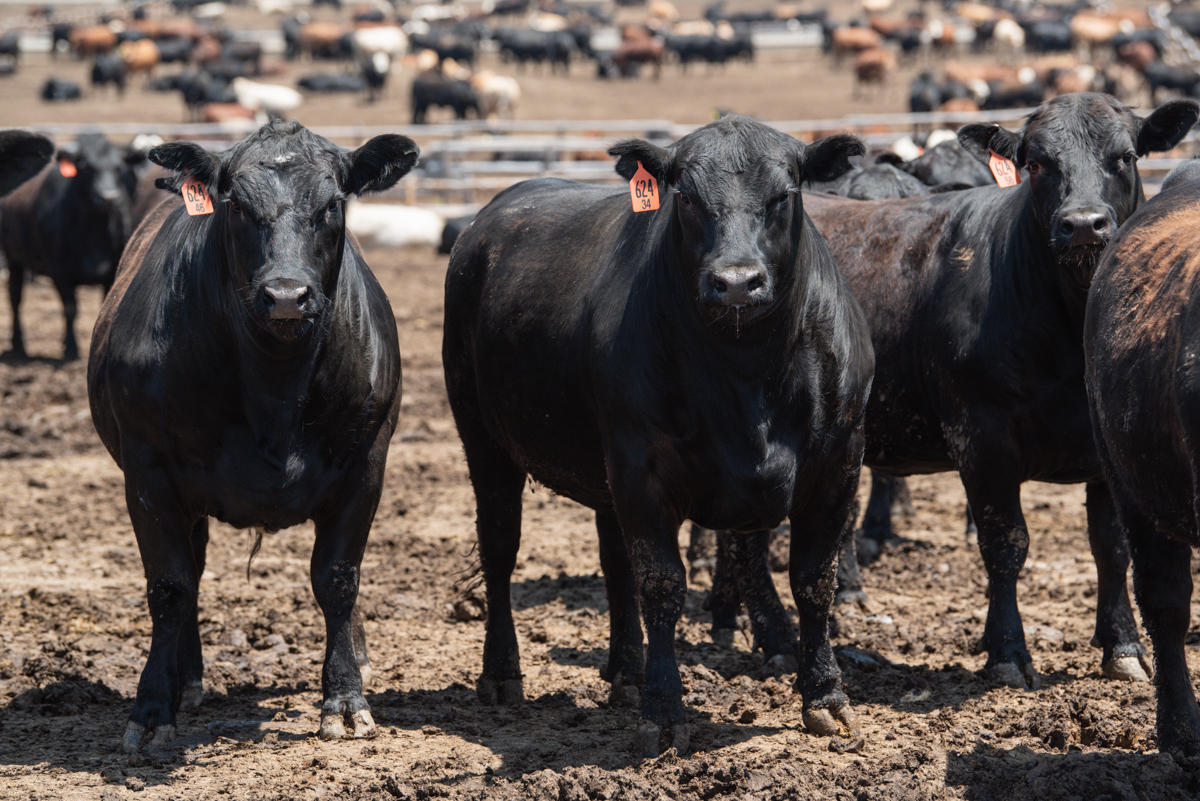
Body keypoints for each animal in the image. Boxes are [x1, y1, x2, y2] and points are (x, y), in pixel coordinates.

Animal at [88, 118, 417, 753]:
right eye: (234, 204)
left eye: (333, 204)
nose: (286, 295)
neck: (274, 389)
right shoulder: (148, 473)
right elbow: (169, 586)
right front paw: (151, 709)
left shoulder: (366, 464)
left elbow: (338, 579)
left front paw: (345, 700)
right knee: (190, 572)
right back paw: (186, 679)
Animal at [441, 115, 873, 753]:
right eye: (686, 198)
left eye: (784, 195)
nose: (736, 283)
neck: (748, 374)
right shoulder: (641, 470)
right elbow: (663, 585)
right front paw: (664, 711)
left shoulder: (839, 464)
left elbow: (815, 580)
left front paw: (826, 697)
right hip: (486, 441)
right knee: (500, 550)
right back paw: (502, 674)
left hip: (599, 473)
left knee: (615, 564)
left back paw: (626, 673)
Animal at [715, 94, 1195, 690]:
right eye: (1037, 163)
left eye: (1126, 156)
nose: (1083, 224)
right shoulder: (981, 436)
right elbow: (1006, 544)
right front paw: (1008, 653)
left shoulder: (1107, 447)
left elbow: (1111, 547)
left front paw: (1122, 645)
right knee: (743, 539)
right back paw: (773, 637)